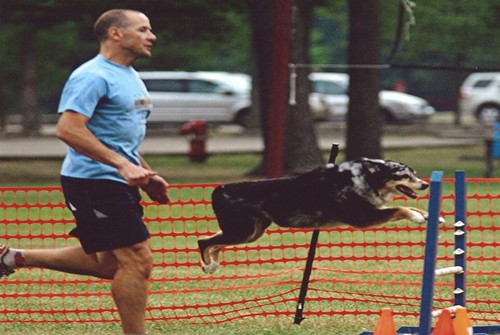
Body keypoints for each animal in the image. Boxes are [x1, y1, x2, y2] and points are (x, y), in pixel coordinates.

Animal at [197, 159, 436, 274]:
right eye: (404, 175)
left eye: (414, 174)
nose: (425, 184)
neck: (366, 178)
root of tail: (218, 190)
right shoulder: (362, 217)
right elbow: (399, 209)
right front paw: (416, 217)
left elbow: (405, 207)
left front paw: (428, 216)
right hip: (242, 231)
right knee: (204, 242)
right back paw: (209, 266)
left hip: (251, 233)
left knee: (213, 242)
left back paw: (213, 265)